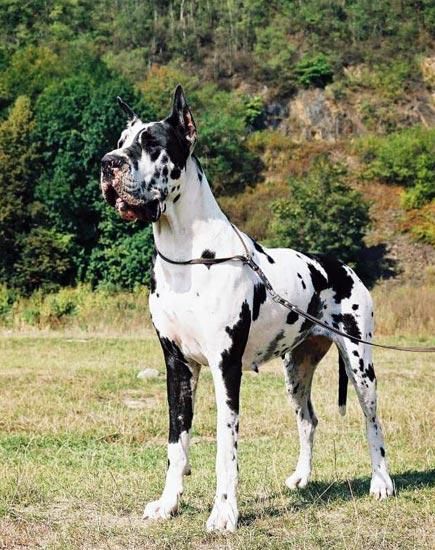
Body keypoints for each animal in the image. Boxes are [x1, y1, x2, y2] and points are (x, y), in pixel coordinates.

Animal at [100, 86, 394, 532]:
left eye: (152, 144)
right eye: (120, 142)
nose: (107, 164)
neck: (186, 255)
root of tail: (342, 266)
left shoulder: (226, 366)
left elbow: (226, 448)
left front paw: (224, 512)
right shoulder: (177, 366)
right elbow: (176, 443)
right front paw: (168, 504)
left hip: (361, 365)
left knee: (372, 422)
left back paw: (381, 482)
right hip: (296, 370)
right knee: (308, 420)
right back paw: (302, 478)